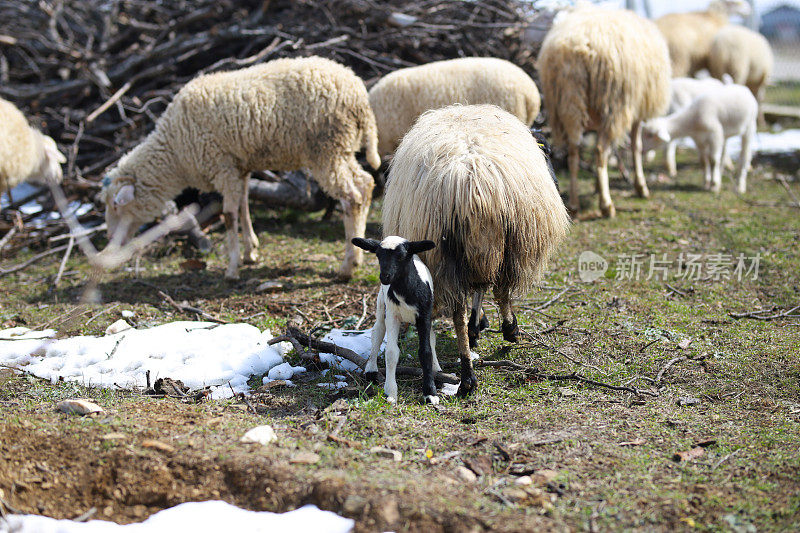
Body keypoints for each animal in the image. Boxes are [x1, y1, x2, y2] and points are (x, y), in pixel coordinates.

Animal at [101, 56, 382, 280]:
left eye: (116, 205)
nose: (110, 239)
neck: (175, 151)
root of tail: (359, 95)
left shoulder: (222, 167)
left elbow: (228, 216)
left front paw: (232, 268)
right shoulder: (240, 167)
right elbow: (245, 207)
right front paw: (250, 252)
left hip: (326, 149)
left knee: (351, 198)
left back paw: (347, 266)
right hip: (342, 148)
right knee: (365, 184)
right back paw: (357, 252)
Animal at [382, 104, 568, 394]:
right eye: (546, 150)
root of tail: (471, 185)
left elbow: (477, 290)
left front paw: (476, 326)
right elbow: (489, 290)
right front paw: (487, 325)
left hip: (445, 256)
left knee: (460, 310)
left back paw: (468, 373)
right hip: (508, 244)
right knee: (501, 290)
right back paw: (508, 332)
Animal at [540, 7, 672, 217]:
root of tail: (577, 47)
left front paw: (597, 185)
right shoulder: (633, 112)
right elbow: (635, 146)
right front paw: (641, 187)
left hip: (570, 102)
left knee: (575, 151)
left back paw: (575, 204)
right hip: (612, 103)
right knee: (601, 150)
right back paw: (606, 205)